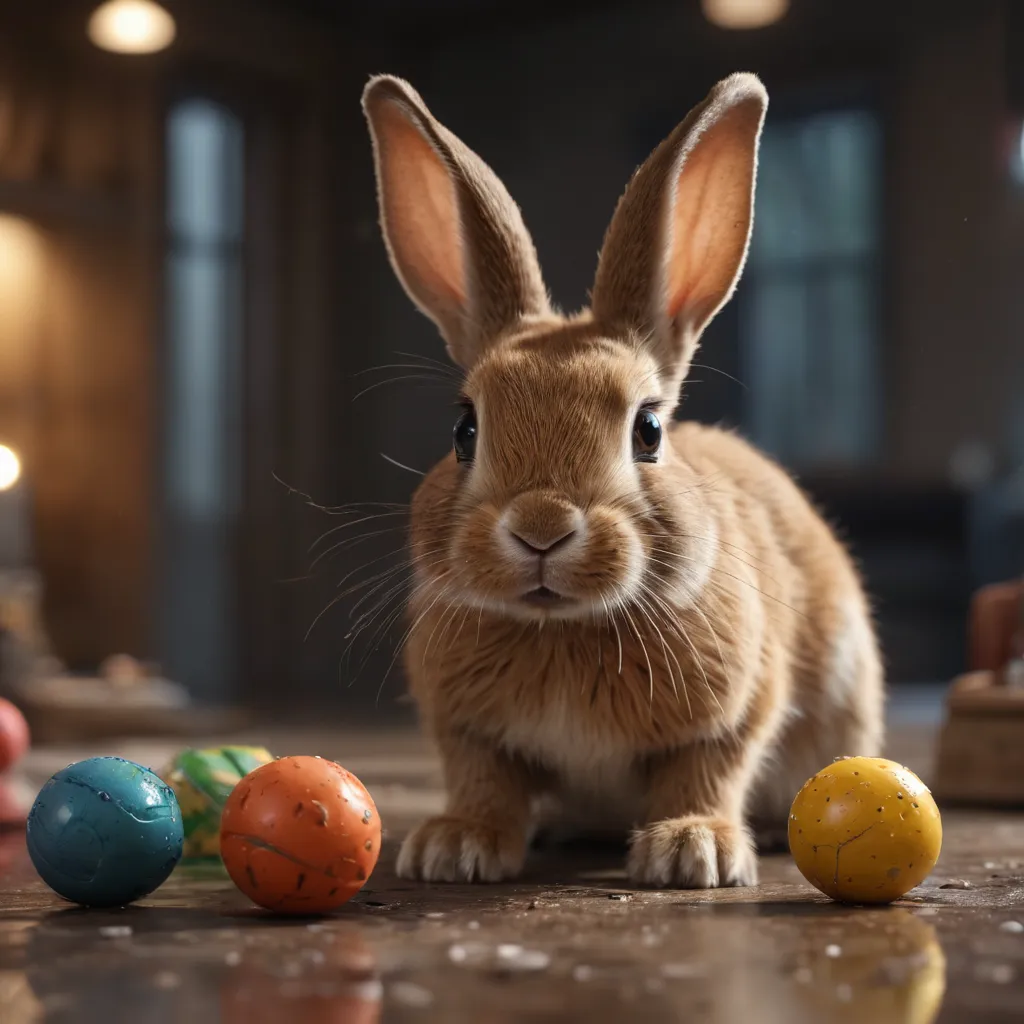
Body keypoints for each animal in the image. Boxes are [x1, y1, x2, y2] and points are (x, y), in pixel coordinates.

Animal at [361, 71, 884, 889]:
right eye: (464, 430)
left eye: (648, 431)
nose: (541, 529)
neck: (563, 628)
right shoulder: (464, 730)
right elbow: (484, 781)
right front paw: (454, 848)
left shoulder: (736, 709)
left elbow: (706, 771)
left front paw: (693, 851)